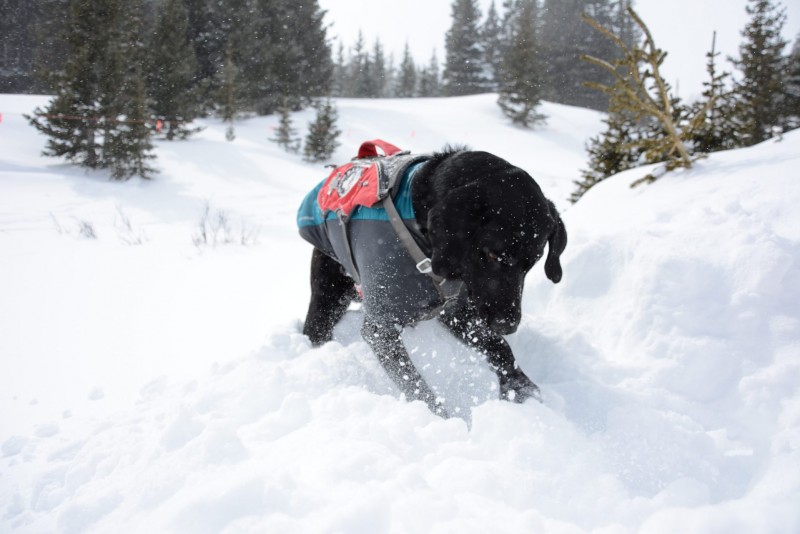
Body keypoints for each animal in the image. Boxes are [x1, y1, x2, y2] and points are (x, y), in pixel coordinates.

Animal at [296, 148, 564, 418]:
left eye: (533, 262)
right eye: (491, 254)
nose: (507, 325)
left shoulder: (457, 312)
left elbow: (499, 347)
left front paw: (520, 386)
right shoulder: (381, 327)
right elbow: (416, 386)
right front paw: (444, 418)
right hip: (328, 298)